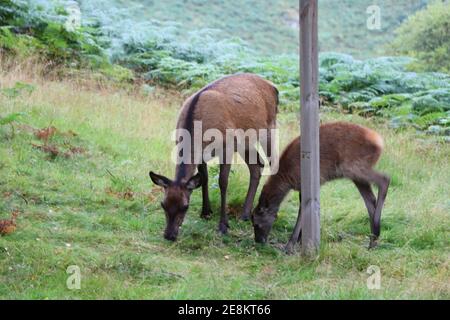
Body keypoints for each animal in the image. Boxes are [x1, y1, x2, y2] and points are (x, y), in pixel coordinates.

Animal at [150, 74, 278, 241]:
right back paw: (244, 214)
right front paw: (206, 212)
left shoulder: (228, 146)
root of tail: (274, 88)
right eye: (163, 204)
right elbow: (203, 178)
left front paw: (223, 226)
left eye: (185, 206)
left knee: (273, 163)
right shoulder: (202, 155)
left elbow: (223, 182)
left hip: (269, 129)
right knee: (257, 165)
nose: (169, 235)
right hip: (245, 141)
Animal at [253, 121, 390, 249]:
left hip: (353, 167)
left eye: (257, 224)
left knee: (385, 179)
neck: (286, 179)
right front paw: (300, 240)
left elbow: (302, 211)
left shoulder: (305, 183)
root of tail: (379, 141)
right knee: (370, 200)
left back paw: (376, 230)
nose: (258, 241)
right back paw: (373, 240)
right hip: (355, 174)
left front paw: (290, 245)